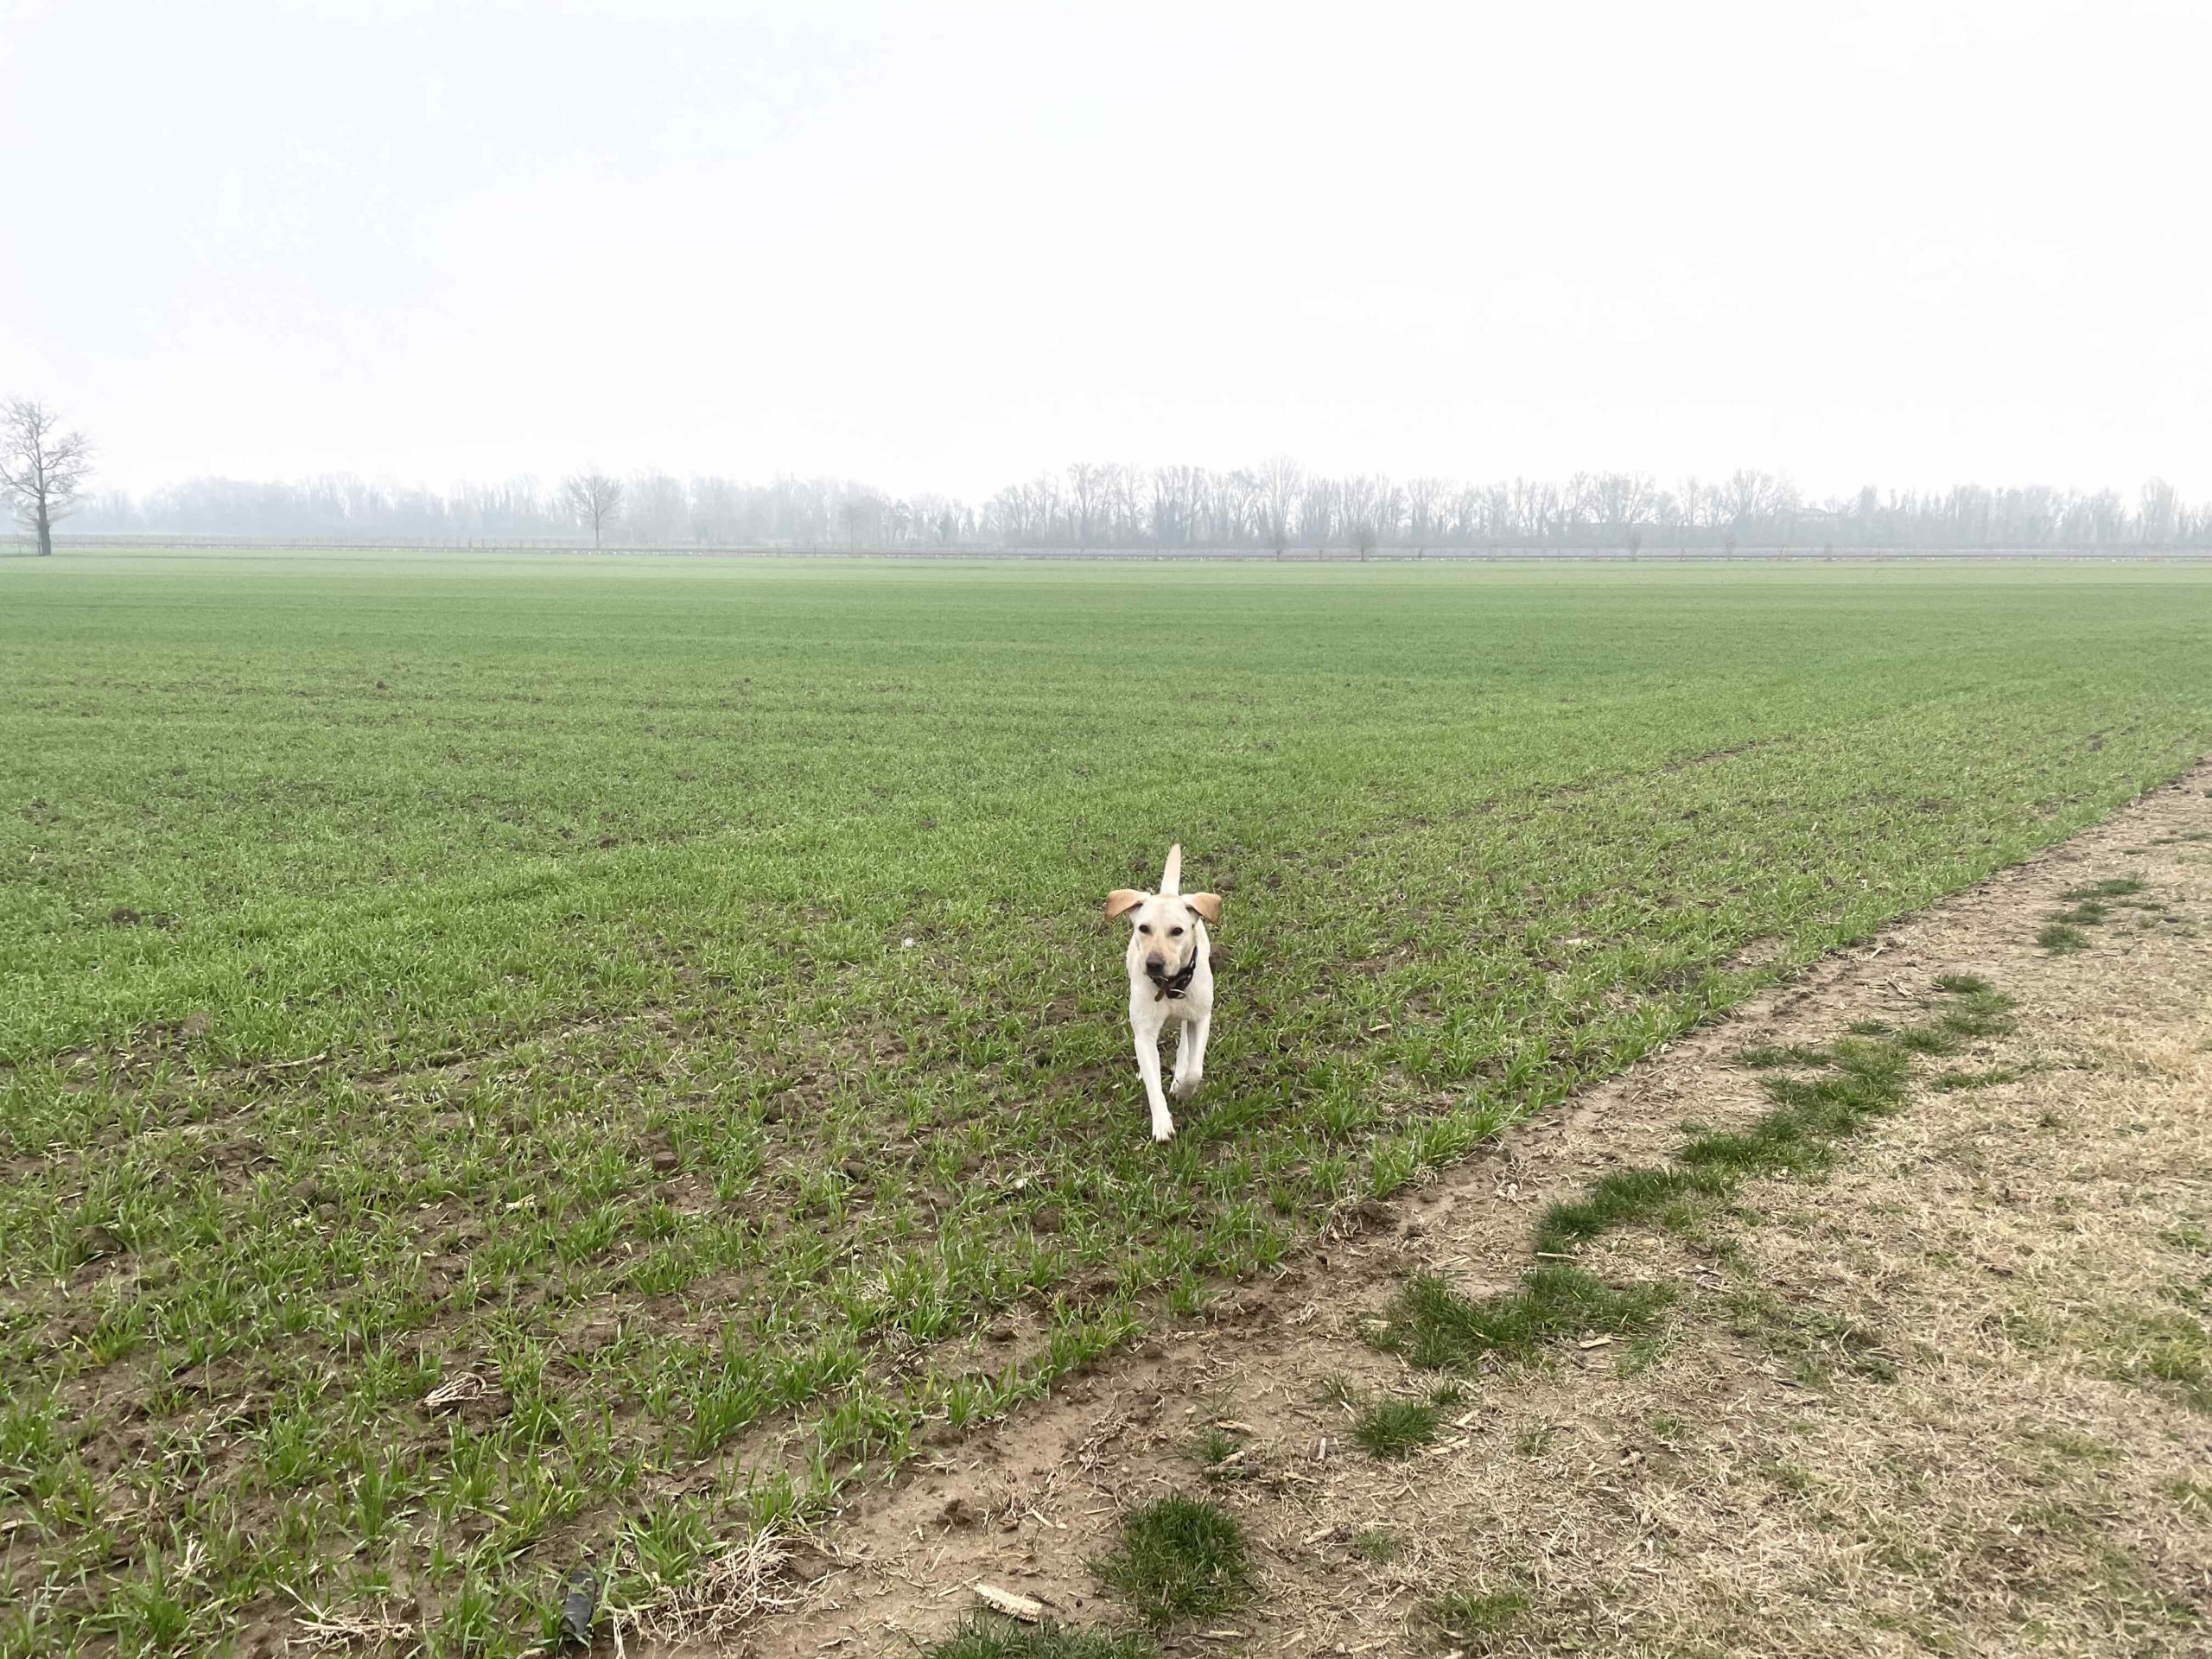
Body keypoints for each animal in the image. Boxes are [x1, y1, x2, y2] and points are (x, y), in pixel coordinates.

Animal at [1106, 844, 1230, 1141]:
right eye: (1143, 928)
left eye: (1177, 931)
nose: (1153, 963)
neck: (1170, 986)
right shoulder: (1144, 1032)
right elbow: (1152, 1079)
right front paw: (1162, 1123)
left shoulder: (1201, 1018)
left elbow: (1195, 1069)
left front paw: (1183, 1088)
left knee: (1185, 1043)